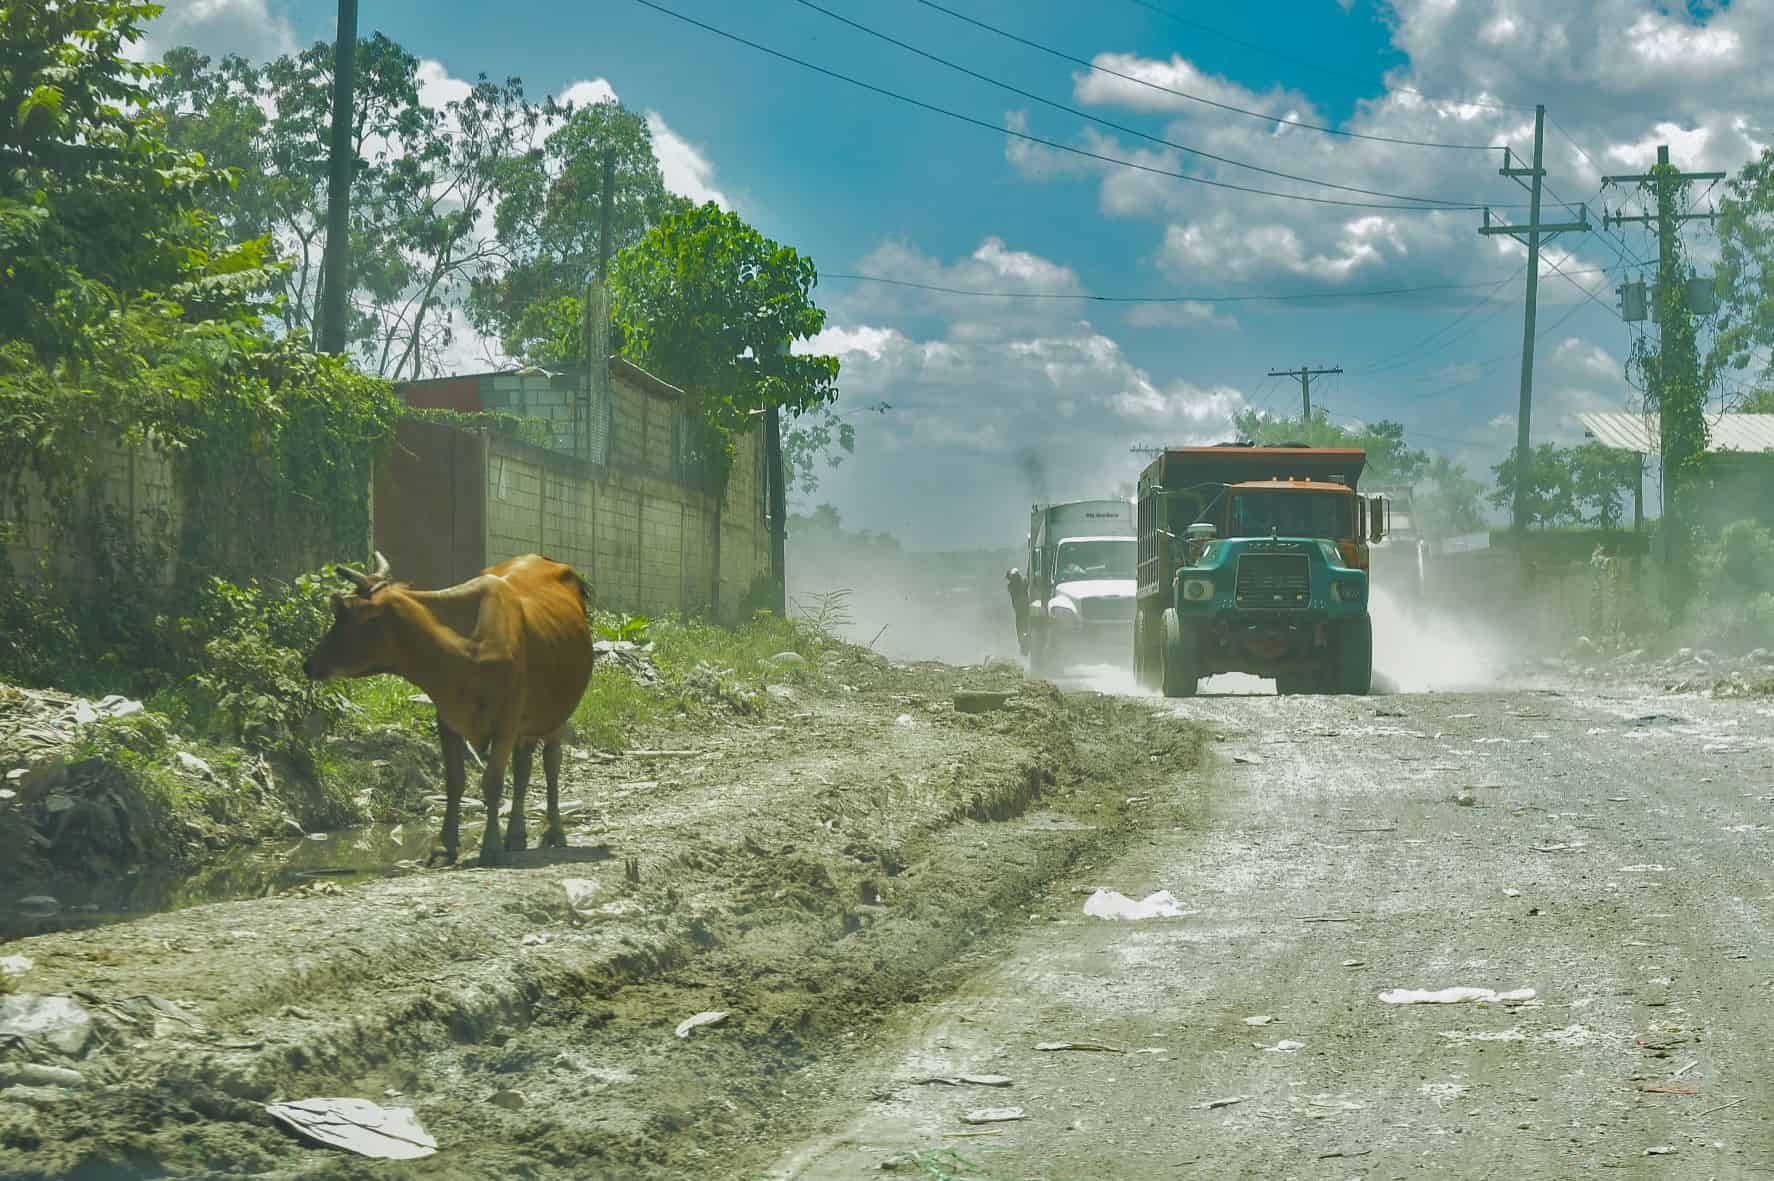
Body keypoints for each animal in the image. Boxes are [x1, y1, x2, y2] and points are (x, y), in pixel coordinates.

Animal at [303, 546, 596, 861]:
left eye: (345, 617)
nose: (309, 664)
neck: (463, 649)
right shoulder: (447, 718)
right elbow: (455, 782)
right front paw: (445, 845)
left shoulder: (507, 719)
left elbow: (493, 781)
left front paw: (490, 846)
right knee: (523, 769)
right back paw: (517, 835)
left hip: (556, 715)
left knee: (551, 765)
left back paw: (554, 832)